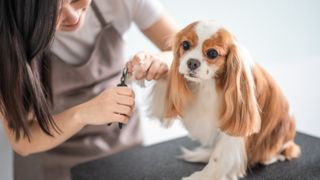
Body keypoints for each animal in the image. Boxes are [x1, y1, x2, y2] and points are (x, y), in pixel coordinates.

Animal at [145, 20, 300, 179]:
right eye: (185, 45)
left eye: (212, 53)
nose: (192, 62)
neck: (208, 84)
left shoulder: (234, 127)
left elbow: (219, 157)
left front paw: (203, 176)